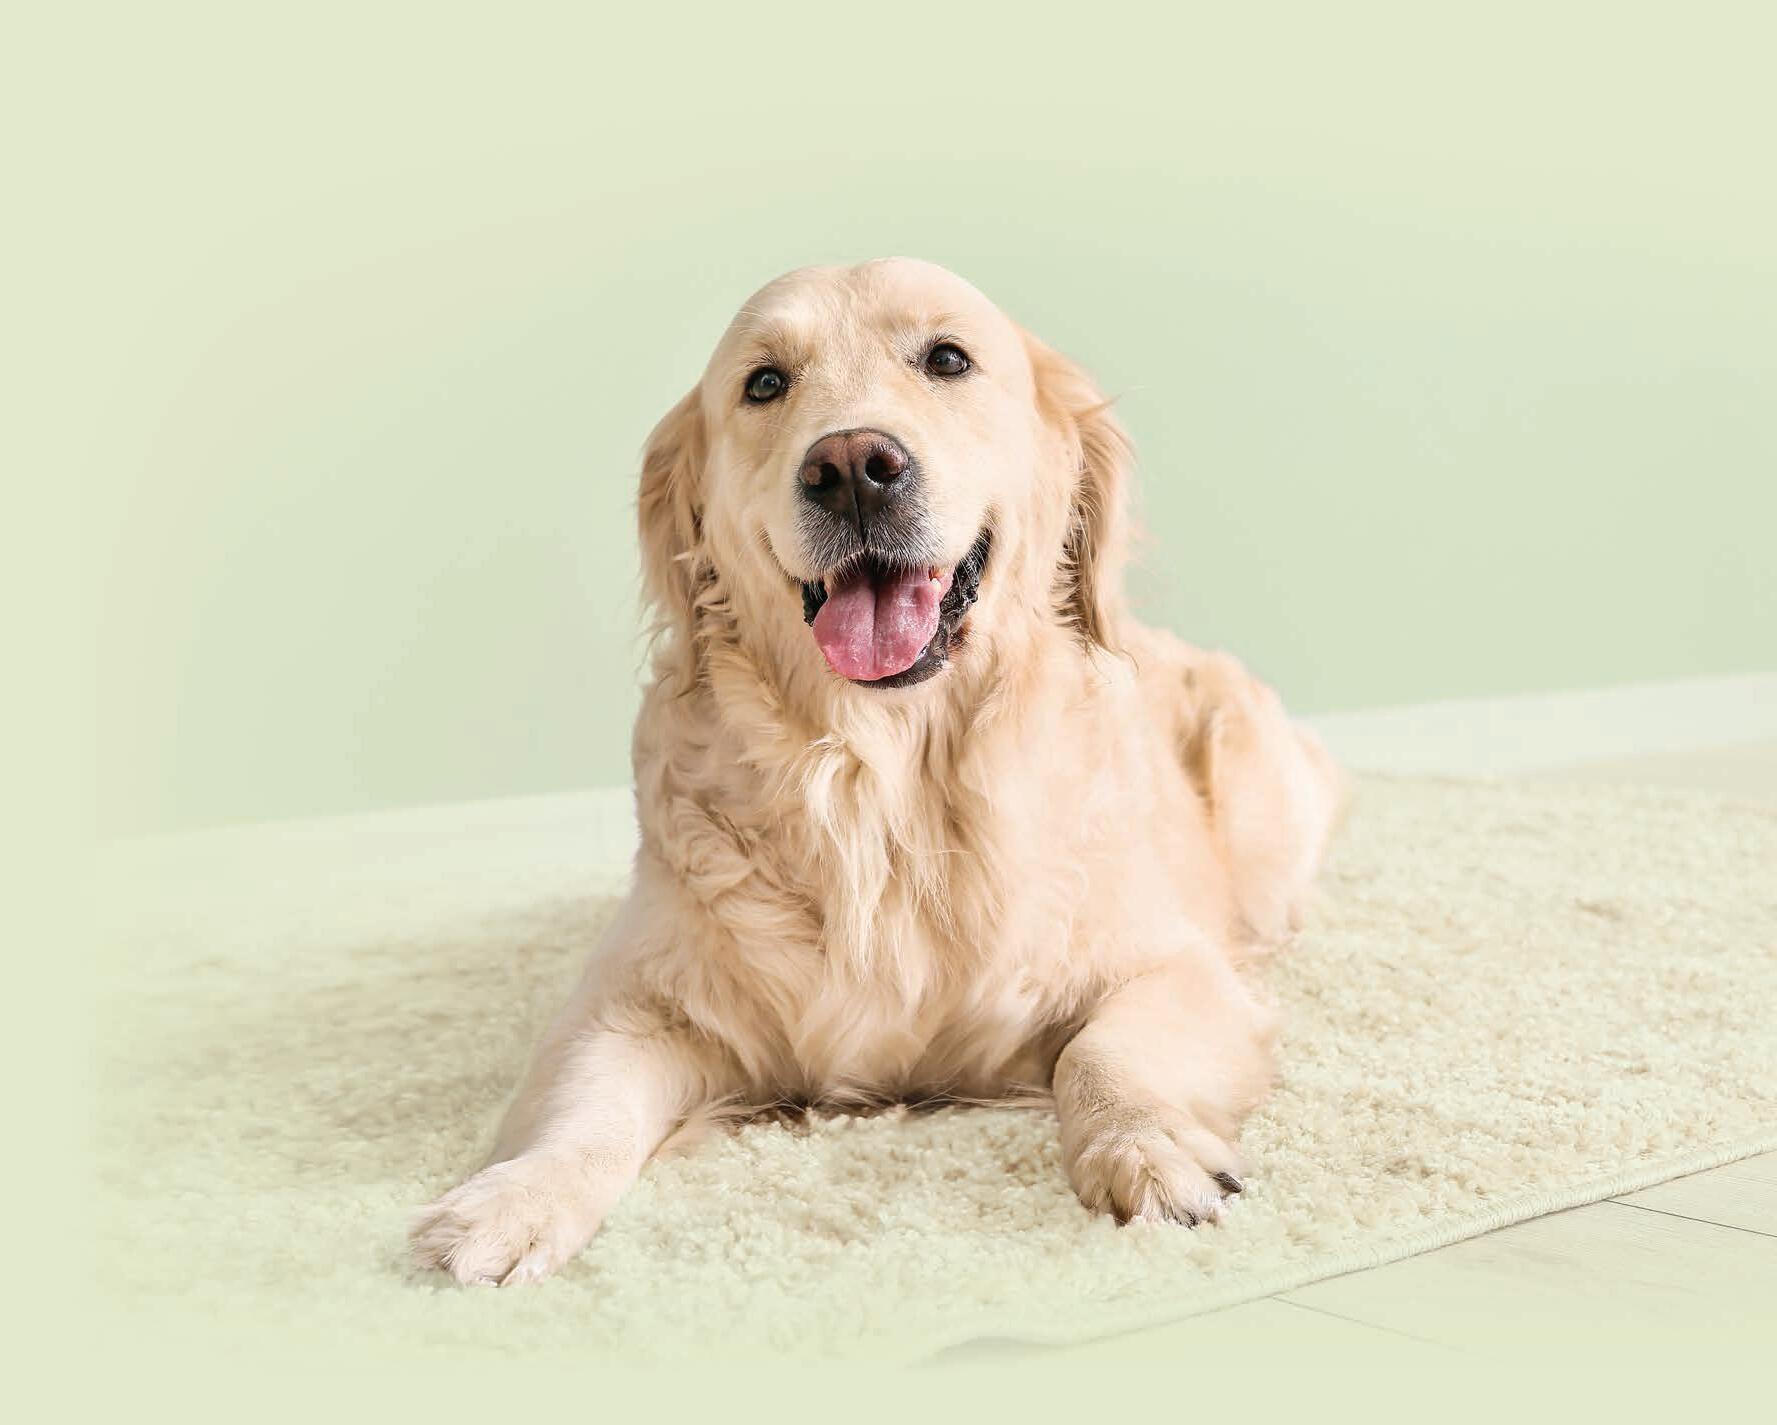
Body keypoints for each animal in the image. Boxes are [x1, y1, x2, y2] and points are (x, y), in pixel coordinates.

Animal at [411, 258, 1343, 1285]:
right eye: (764, 382)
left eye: (948, 359)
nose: (853, 465)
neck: (881, 777)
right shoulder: (628, 1002)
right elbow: (584, 1102)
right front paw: (514, 1202)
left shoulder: (1169, 964)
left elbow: (1102, 1054)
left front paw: (1148, 1151)